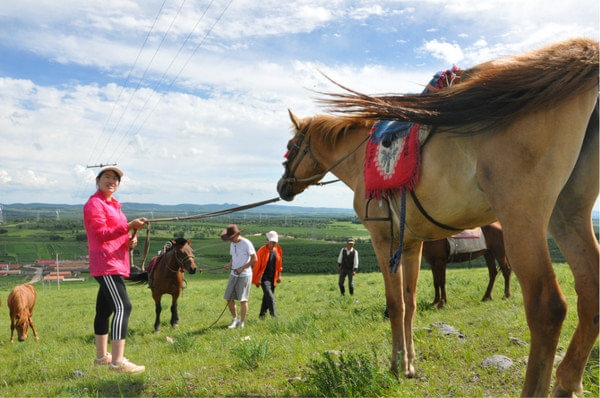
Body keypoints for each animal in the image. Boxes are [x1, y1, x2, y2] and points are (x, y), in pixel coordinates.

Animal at [278, 38, 600, 398]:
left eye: (291, 146)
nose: (282, 186)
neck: (360, 157)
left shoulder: (382, 239)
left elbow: (396, 303)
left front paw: (395, 365)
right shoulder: (411, 244)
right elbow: (411, 302)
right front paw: (410, 364)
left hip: (522, 215)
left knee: (547, 306)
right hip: (567, 213)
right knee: (591, 291)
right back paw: (567, 382)